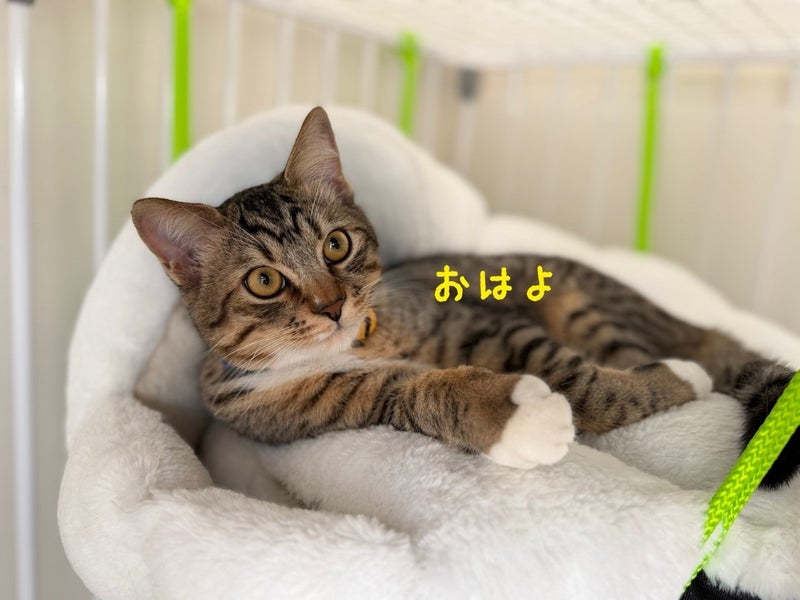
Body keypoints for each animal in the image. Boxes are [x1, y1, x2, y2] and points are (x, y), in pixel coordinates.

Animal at [132, 106, 798, 485]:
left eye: (336, 245)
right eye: (264, 281)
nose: (333, 306)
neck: (360, 343)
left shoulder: (474, 320)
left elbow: (574, 374)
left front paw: (676, 379)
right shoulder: (319, 406)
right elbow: (423, 394)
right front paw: (514, 418)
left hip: (589, 303)